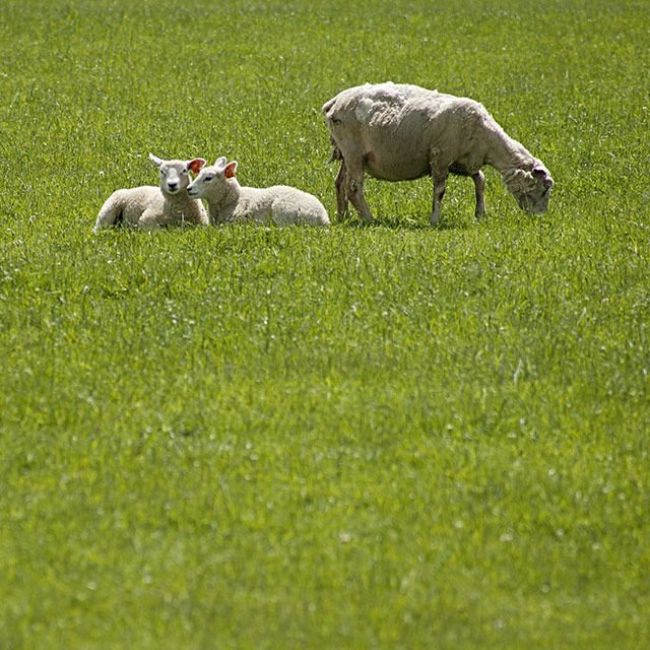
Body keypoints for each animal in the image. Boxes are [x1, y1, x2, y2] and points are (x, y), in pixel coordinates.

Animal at [318, 82, 552, 224]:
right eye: (543, 190)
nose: (539, 217)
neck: (486, 139)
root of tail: (335, 102)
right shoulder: (440, 157)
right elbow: (440, 191)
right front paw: (435, 220)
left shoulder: (464, 162)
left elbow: (480, 181)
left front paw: (480, 214)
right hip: (354, 153)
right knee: (353, 188)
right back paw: (369, 219)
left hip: (345, 155)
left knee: (340, 183)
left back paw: (343, 216)